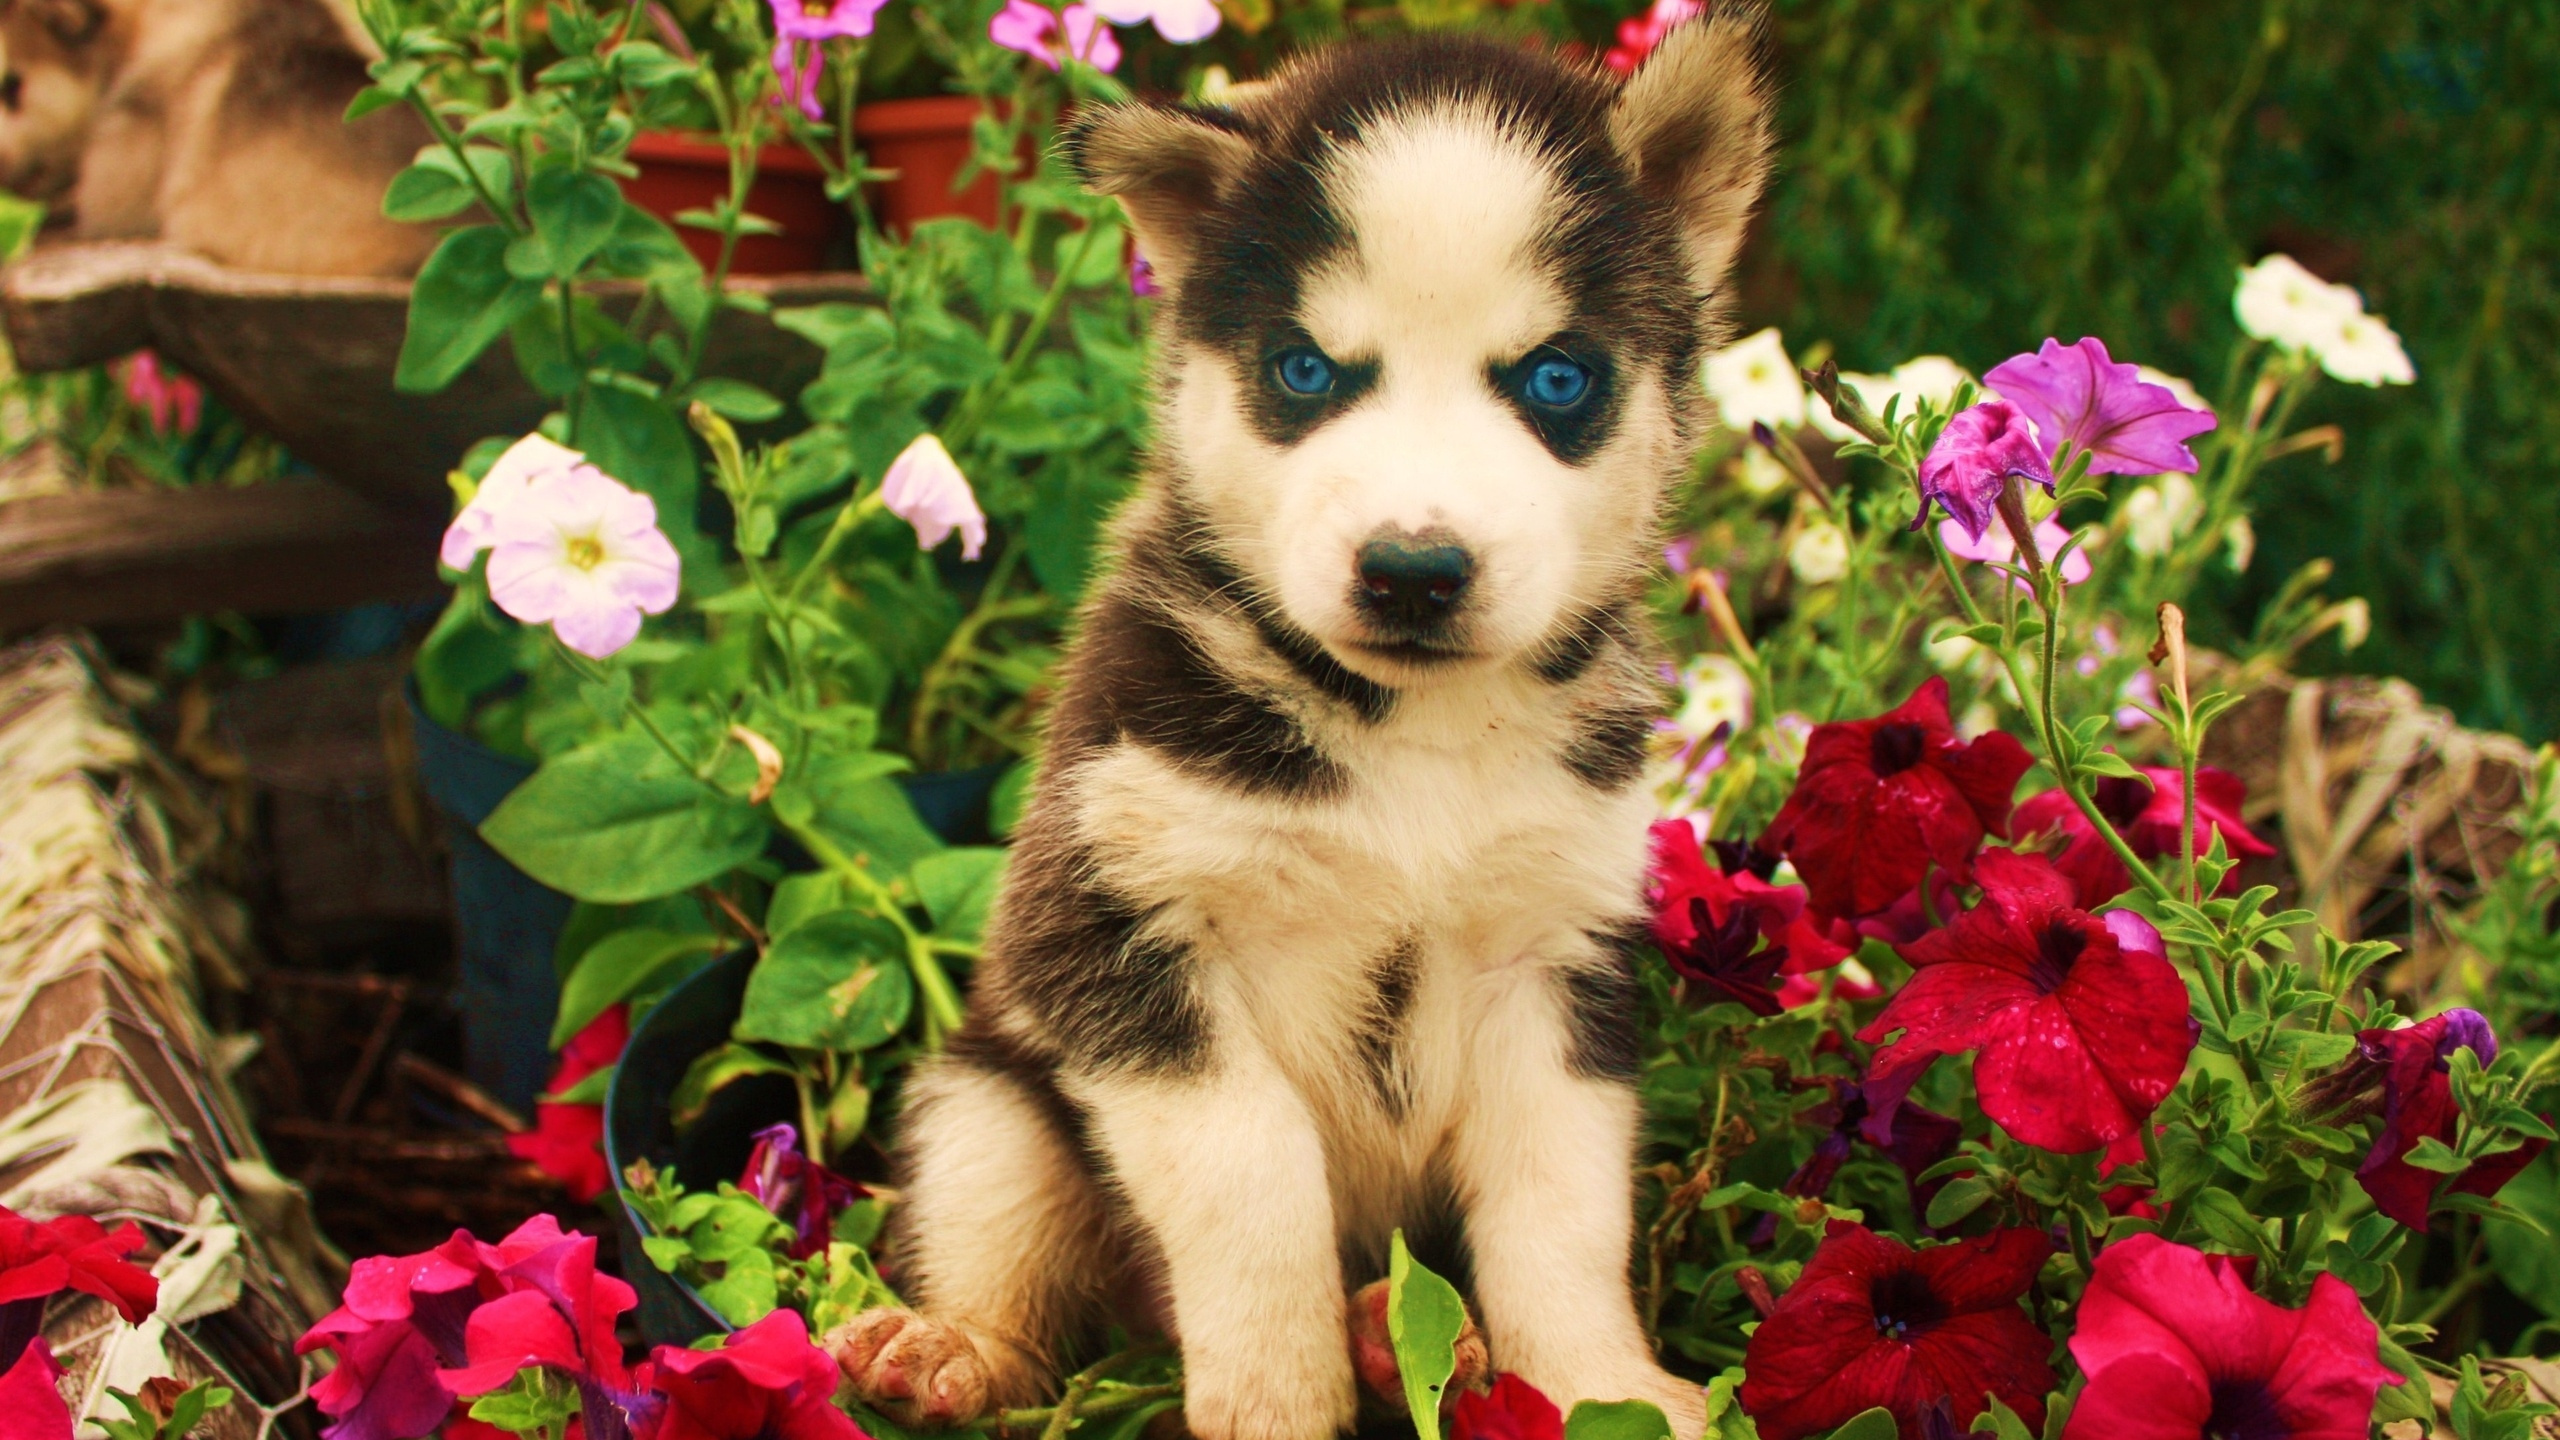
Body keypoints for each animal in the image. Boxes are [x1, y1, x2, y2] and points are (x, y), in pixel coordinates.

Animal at [829, 14, 1771, 1434]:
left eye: (1557, 378)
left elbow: (1560, 1208)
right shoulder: (1116, 933)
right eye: (1304, 371)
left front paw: (1600, 1384)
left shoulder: (1559, 962)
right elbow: (1254, 1165)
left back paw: (1400, 1340)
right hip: (984, 1094)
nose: (1413, 571)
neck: (1412, 741)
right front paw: (1275, 1386)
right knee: (1013, 1243)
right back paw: (957, 1349)